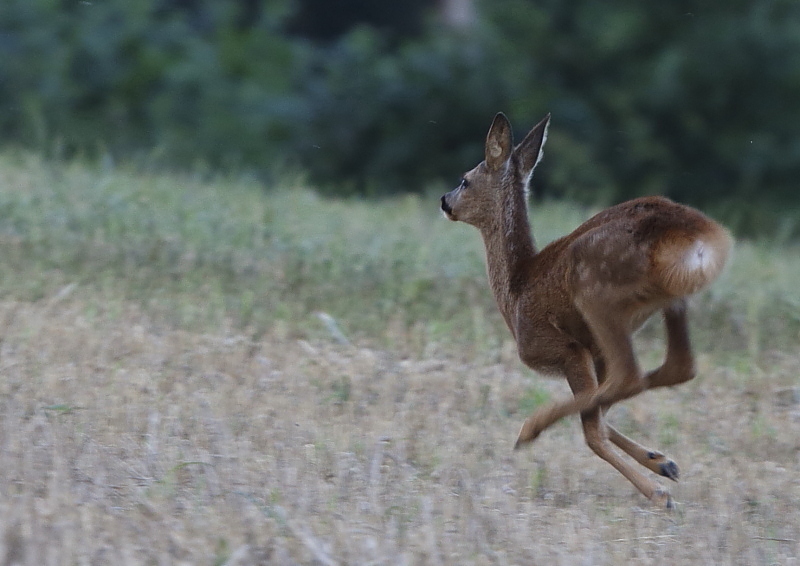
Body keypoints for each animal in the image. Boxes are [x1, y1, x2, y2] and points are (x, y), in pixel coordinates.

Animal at [440, 113, 736, 508]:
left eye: (465, 180)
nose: (444, 200)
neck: (515, 290)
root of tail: (700, 236)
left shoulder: (566, 348)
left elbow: (595, 428)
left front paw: (659, 488)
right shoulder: (594, 352)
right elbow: (601, 414)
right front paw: (662, 462)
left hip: (594, 290)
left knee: (629, 378)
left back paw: (532, 430)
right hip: (668, 300)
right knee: (675, 366)